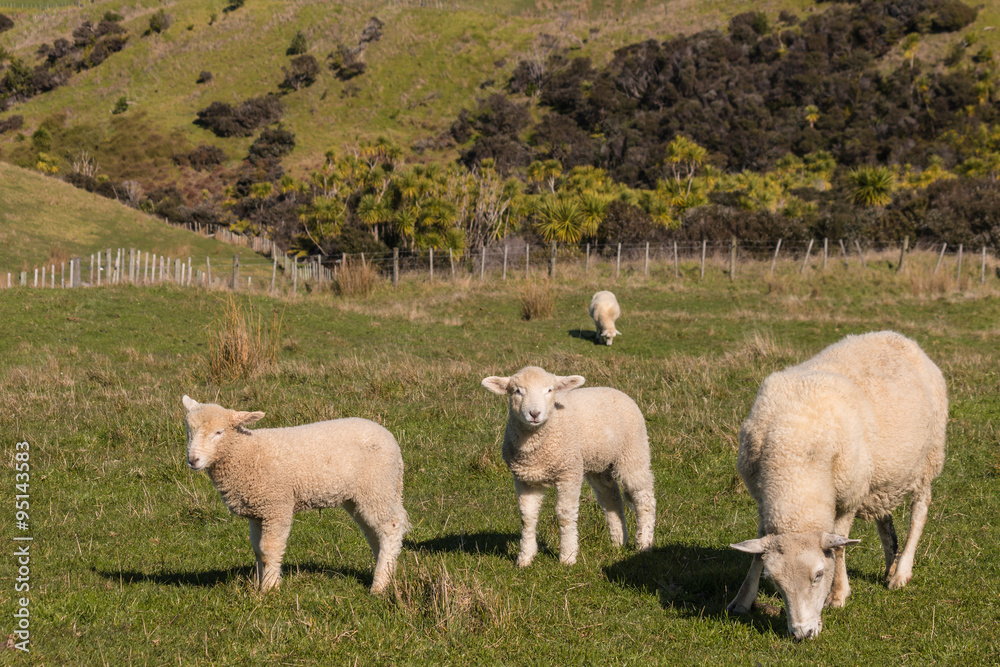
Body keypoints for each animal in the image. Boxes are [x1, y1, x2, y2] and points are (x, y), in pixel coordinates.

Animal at [181, 395, 410, 594]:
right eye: (189, 431)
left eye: (218, 432)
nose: (193, 460)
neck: (247, 452)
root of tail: (391, 440)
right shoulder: (257, 511)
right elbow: (257, 549)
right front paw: (258, 584)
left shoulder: (277, 506)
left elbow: (269, 550)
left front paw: (269, 588)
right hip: (363, 496)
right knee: (374, 532)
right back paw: (386, 572)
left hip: (376, 486)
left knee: (391, 528)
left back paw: (379, 585)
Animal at [481, 366, 655, 567]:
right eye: (517, 391)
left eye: (550, 390)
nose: (534, 414)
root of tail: (616, 390)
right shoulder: (524, 478)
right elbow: (527, 517)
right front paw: (525, 557)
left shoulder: (569, 472)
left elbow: (565, 515)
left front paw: (568, 557)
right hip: (599, 464)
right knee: (611, 499)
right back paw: (618, 542)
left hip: (634, 453)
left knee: (644, 499)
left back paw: (644, 543)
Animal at [726, 331, 947, 640]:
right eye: (776, 582)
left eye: (819, 575)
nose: (803, 633)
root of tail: (897, 336)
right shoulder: (763, 502)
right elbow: (757, 554)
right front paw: (742, 600)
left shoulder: (848, 499)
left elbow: (840, 548)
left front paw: (839, 595)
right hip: (880, 476)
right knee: (885, 520)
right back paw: (890, 565)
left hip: (927, 460)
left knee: (919, 513)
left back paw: (901, 573)